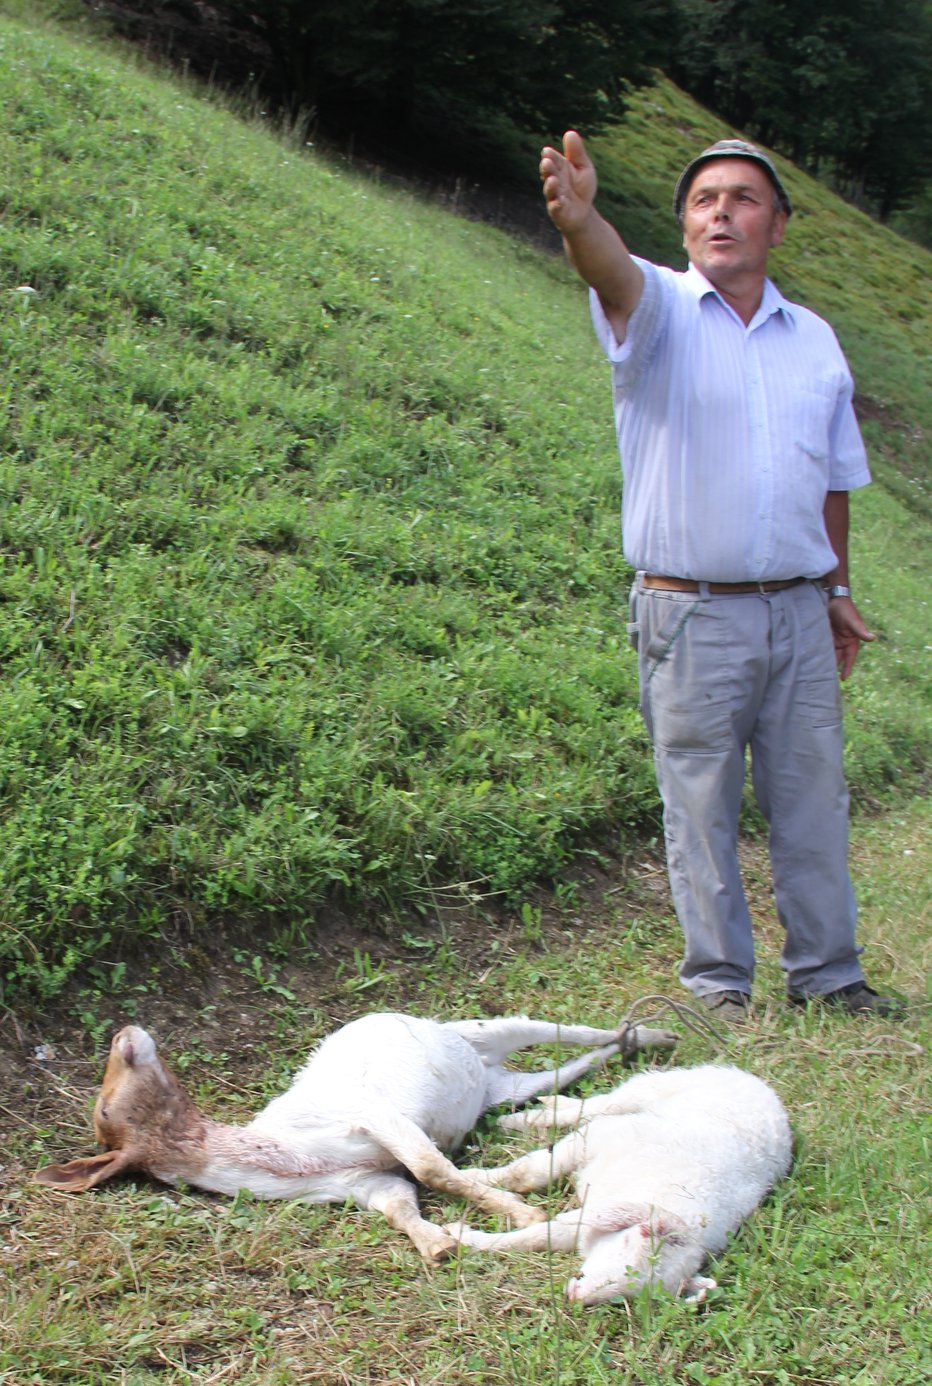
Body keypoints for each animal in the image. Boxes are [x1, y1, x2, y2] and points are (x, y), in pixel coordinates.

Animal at [34, 1014, 676, 1264]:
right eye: (102, 1107)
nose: (124, 1033)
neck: (291, 1159)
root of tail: (483, 1064)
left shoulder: (374, 1115)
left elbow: (432, 1167)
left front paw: (517, 1212)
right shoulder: (368, 1182)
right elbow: (404, 1200)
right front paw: (437, 1242)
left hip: (484, 1029)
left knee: (562, 1030)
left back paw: (658, 1032)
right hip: (506, 1085)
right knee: (571, 1067)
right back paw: (632, 1041)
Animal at [443, 1058, 787, 1297]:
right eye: (629, 1242)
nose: (576, 1296)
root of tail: (768, 1092)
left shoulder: (587, 1220)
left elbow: (537, 1238)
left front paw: (464, 1236)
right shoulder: (598, 1139)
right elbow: (530, 1173)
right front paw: (473, 1180)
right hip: (653, 1088)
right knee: (598, 1105)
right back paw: (525, 1117)